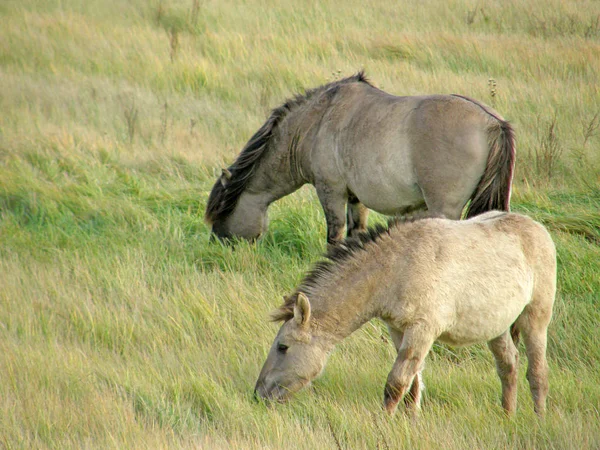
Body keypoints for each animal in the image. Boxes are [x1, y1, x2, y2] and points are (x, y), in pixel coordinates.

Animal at [205, 73, 516, 243]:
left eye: (221, 211)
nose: (219, 246)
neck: (315, 122)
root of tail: (492, 123)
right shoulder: (356, 199)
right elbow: (355, 233)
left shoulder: (331, 192)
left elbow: (334, 236)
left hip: (444, 210)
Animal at [254, 213, 556, 416]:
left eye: (283, 347)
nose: (258, 394)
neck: (398, 265)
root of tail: (537, 228)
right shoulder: (399, 329)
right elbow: (412, 385)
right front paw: (409, 422)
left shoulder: (422, 330)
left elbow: (396, 383)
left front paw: (384, 422)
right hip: (497, 327)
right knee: (509, 367)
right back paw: (508, 416)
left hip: (535, 319)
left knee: (538, 372)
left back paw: (538, 419)